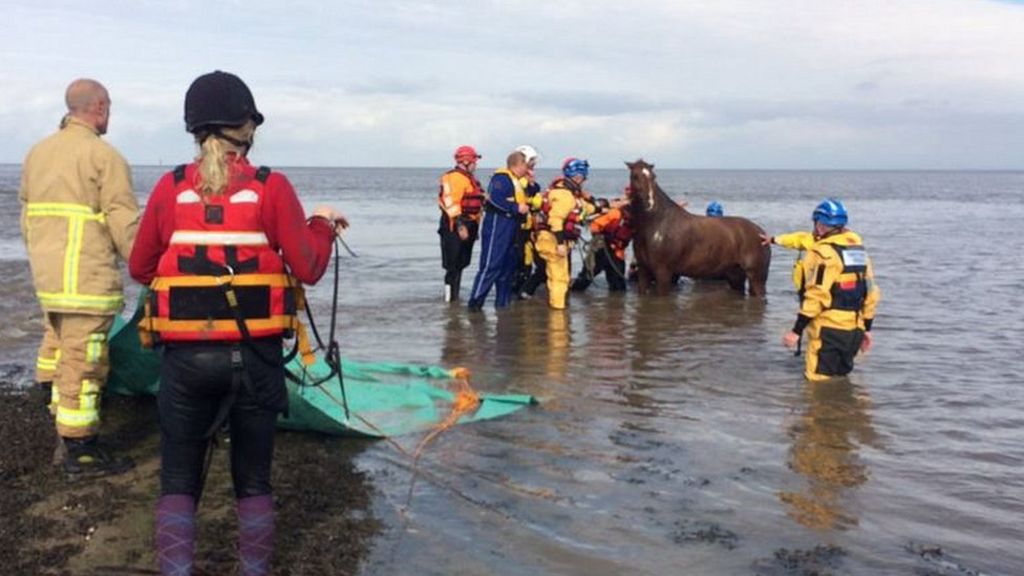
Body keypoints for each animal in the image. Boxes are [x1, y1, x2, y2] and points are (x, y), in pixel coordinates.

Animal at [626, 159, 770, 296]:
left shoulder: (663, 273)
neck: (657, 222)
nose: (649, 202)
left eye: (654, 176)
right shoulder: (643, 271)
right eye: (635, 176)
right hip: (736, 276)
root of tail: (762, 233)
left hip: (757, 278)